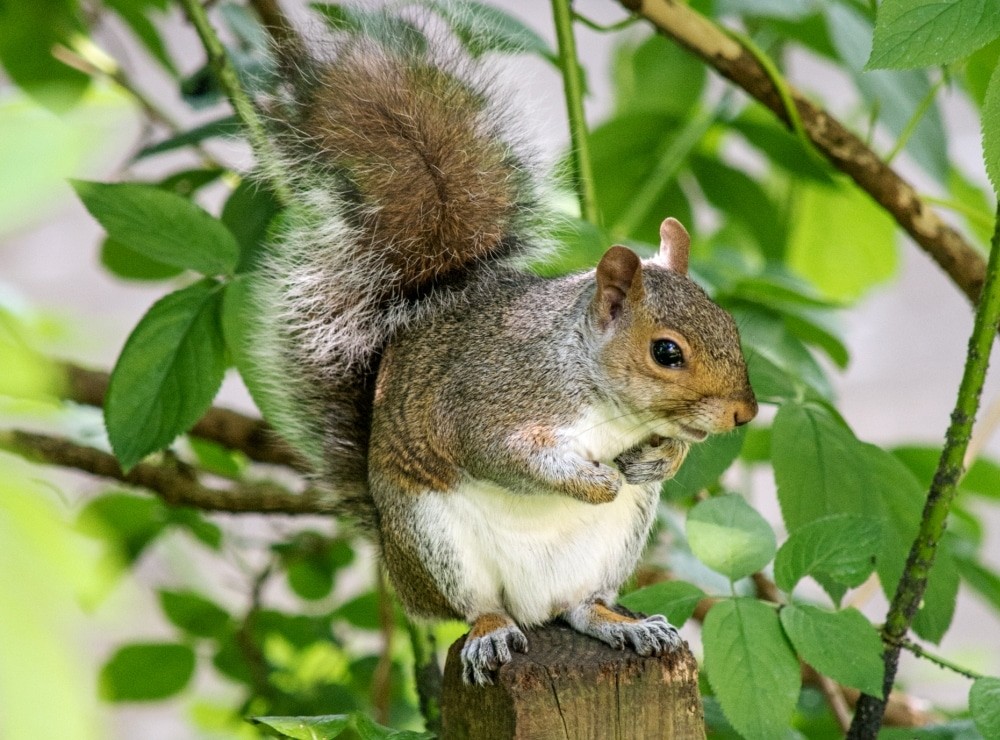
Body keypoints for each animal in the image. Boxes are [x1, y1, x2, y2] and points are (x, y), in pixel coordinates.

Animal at [252, 11, 756, 684]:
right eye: (667, 353)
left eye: (728, 323)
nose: (744, 412)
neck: (594, 386)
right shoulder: (489, 400)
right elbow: (504, 454)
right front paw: (595, 481)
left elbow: (664, 452)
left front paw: (657, 462)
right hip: (434, 542)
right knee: (475, 607)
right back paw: (492, 631)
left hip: (614, 546)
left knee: (579, 606)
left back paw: (622, 624)